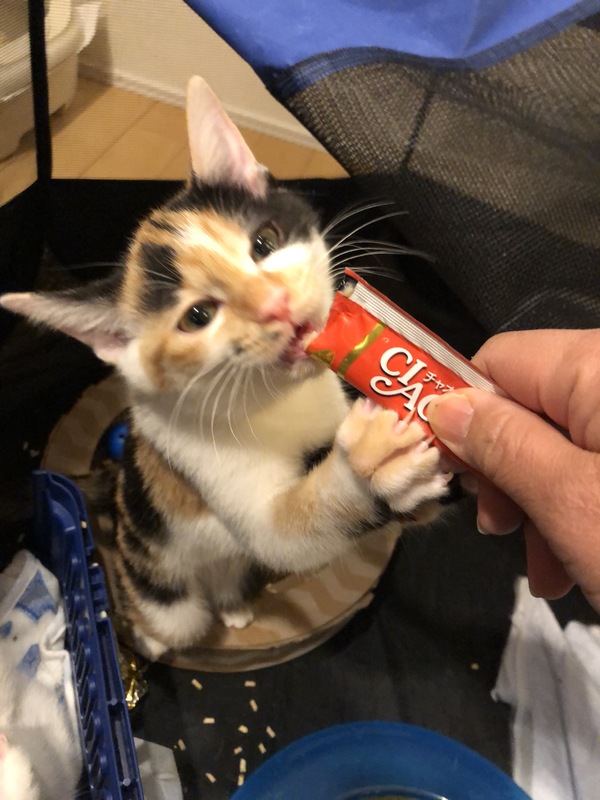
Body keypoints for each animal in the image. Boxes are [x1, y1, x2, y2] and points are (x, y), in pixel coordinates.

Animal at [0, 77, 451, 661]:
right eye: (198, 316)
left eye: (264, 242)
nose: (277, 305)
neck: (275, 399)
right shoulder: (195, 453)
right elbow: (279, 534)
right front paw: (372, 470)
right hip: (159, 578)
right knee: (172, 617)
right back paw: (148, 638)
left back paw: (235, 608)